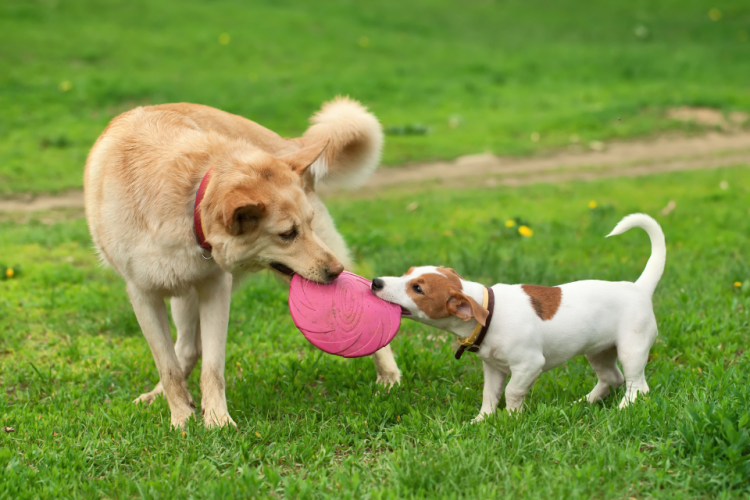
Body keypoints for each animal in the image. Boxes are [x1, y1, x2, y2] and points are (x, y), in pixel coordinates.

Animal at [83, 98, 402, 430]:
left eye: (308, 224)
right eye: (287, 234)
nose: (336, 271)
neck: (189, 201)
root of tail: (285, 143)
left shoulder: (215, 288)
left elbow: (213, 367)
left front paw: (217, 422)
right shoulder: (143, 296)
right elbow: (168, 366)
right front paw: (182, 419)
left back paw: (389, 377)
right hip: (182, 294)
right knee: (185, 349)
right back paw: (161, 396)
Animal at [374, 213, 668, 420]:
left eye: (418, 289)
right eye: (407, 272)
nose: (376, 282)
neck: (489, 311)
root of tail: (639, 288)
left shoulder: (528, 365)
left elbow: (512, 392)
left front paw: (512, 418)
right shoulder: (493, 368)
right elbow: (490, 394)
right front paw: (482, 420)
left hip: (632, 350)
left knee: (637, 386)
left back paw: (624, 409)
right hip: (598, 351)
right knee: (612, 378)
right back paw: (585, 402)